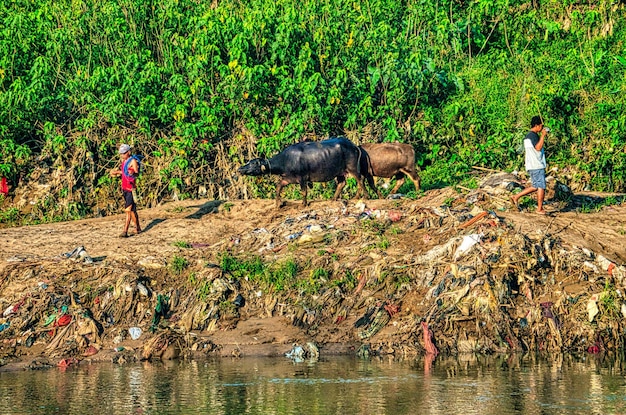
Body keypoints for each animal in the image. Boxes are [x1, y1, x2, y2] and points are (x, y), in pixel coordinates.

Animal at [238, 138, 366, 208]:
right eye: (249, 161)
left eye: (253, 163)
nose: (240, 169)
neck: (286, 160)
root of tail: (354, 146)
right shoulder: (287, 178)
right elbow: (278, 187)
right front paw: (278, 203)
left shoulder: (302, 178)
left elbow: (304, 192)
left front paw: (303, 204)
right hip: (340, 172)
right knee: (341, 183)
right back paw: (333, 199)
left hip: (353, 168)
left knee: (360, 180)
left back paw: (362, 196)